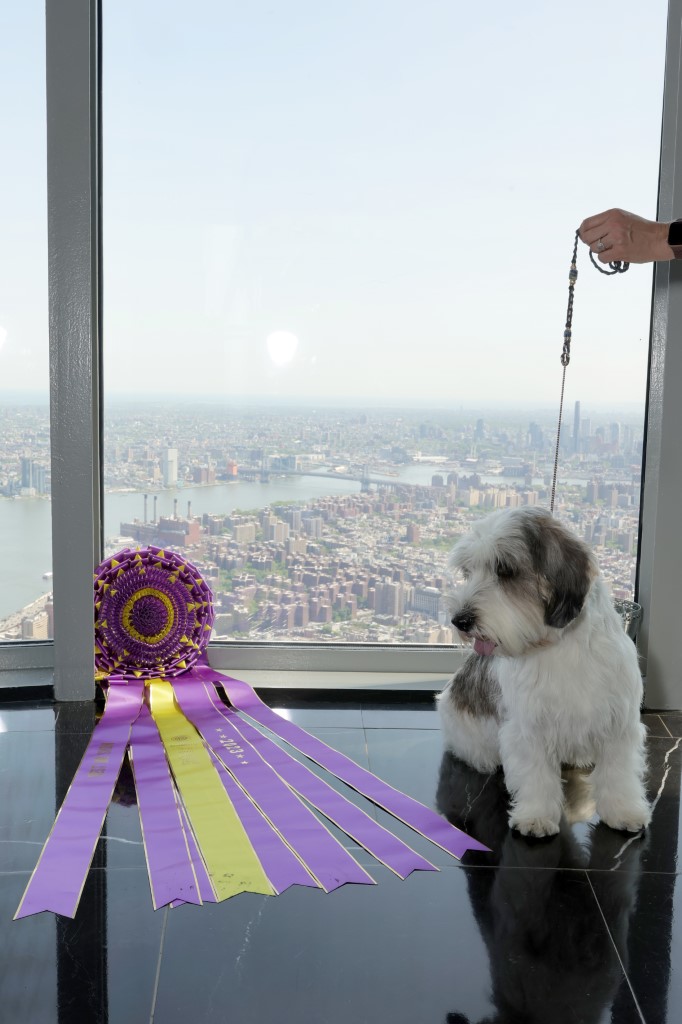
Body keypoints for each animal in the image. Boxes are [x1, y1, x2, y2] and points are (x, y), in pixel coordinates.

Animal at [436, 505, 647, 839]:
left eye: (505, 570)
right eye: (469, 572)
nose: (460, 620)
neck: (560, 648)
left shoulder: (619, 724)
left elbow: (619, 774)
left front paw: (623, 811)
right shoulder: (529, 728)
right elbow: (536, 776)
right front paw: (535, 818)